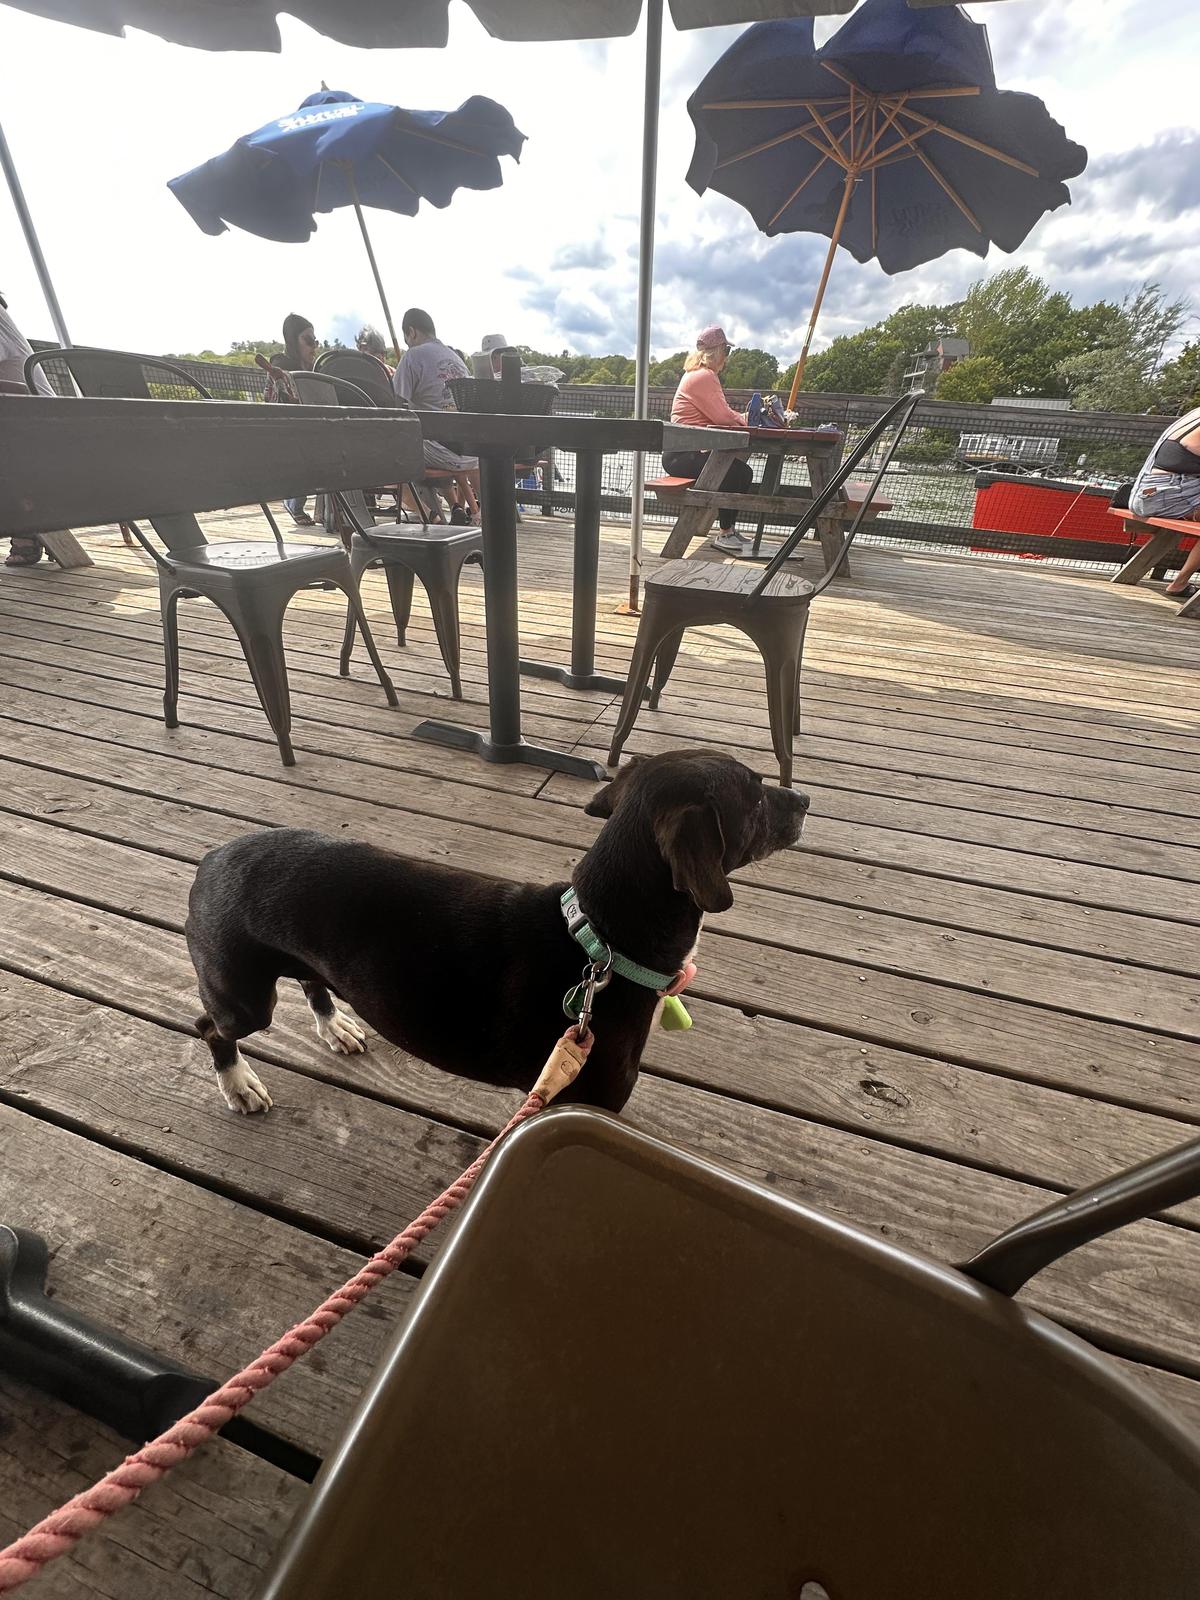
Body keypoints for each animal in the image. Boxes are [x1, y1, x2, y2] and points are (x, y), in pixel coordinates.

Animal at [185, 748, 809, 1113]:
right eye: (755, 794)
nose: (805, 798)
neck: (601, 944)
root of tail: (210, 859)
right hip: (242, 998)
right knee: (210, 1027)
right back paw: (238, 1085)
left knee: (311, 981)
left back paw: (335, 1027)